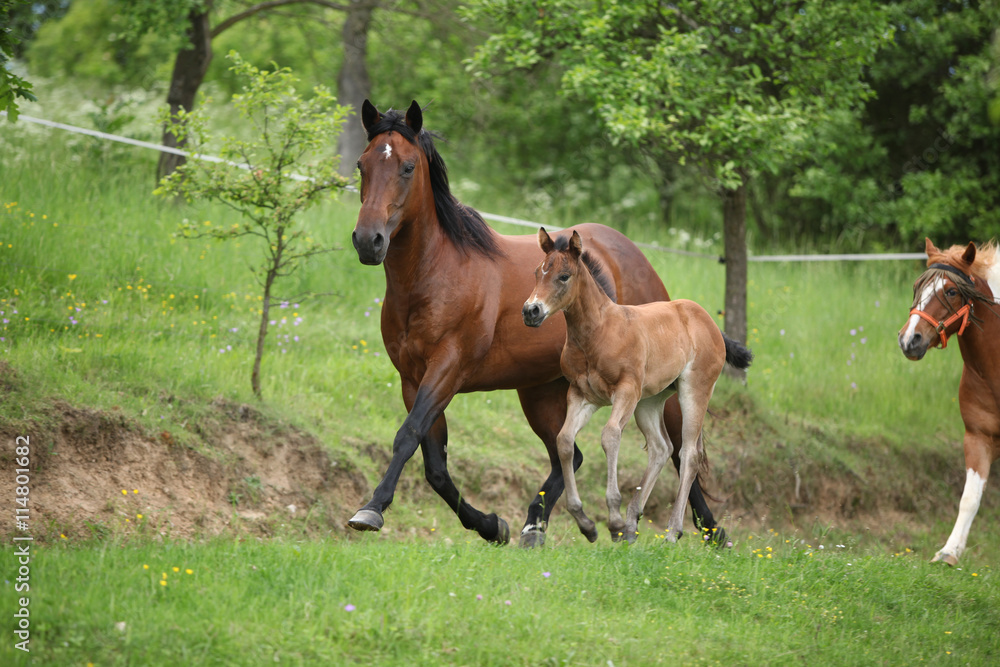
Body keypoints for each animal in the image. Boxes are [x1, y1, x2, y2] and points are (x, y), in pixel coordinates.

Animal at [348, 99, 724, 548]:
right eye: (362, 165)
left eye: (407, 167)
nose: (368, 240)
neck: (435, 274)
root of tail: (634, 253)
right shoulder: (412, 378)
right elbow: (435, 465)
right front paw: (492, 525)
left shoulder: (447, 370)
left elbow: (407, 438)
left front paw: (371, 509)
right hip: (542, 390)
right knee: (571, 453)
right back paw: (537, 525)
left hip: (664, 387)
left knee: (682, 451)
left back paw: (709, 531)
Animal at [524, 228, 752, 544]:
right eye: (537, 272)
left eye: (564, 276)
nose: (531, 311)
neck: (599, 332)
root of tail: (709, 322)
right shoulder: (582, 395)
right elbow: (564, 441)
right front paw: (586, 523)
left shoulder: (625, 391)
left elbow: (610, 436)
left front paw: (613, 518)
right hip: (650, 401)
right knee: (661, 448)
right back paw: (632, 524)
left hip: (694, 390)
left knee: (689, 454)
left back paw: (671, 531)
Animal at [900, 237, 1000, 568]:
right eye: (917, 287)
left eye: (952, 291)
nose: (910, 340)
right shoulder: (978, 437)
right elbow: (969, 497)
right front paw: (949, 551)